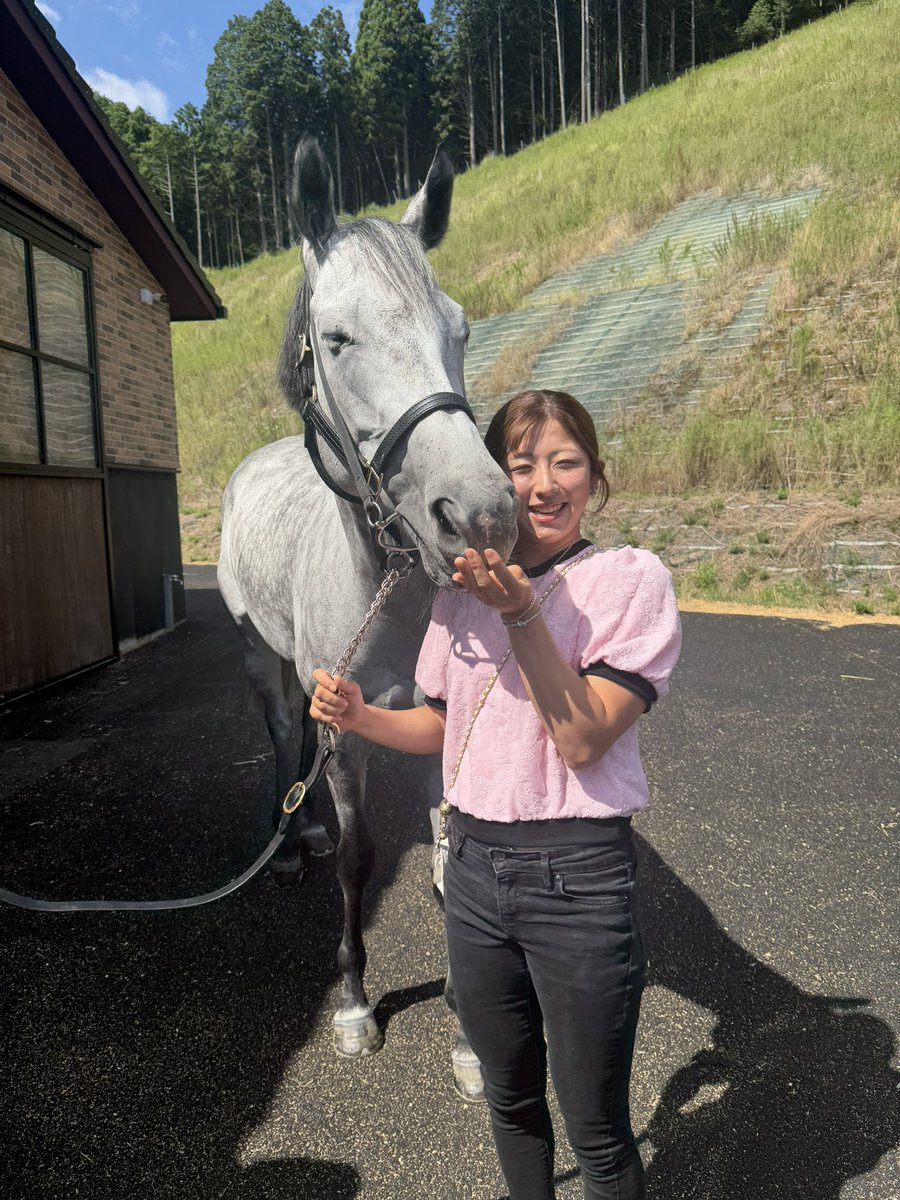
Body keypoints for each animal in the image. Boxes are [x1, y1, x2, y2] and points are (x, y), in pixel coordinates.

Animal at [217, 137, 518, 1092]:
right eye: (339, 338)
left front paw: (470, 1035)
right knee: (284, 733)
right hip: (259, 656)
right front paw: (352, 1003)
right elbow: (356, 860)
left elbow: (452, 857)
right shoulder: (345, 727)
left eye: (460, 329)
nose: (480, 515)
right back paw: (290, 838)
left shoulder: (437, 724)